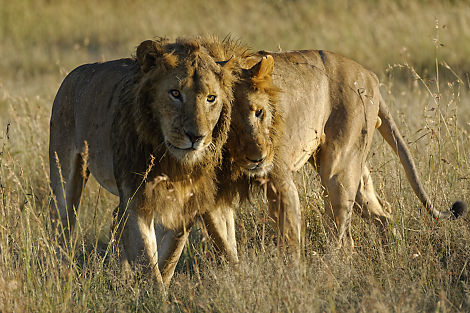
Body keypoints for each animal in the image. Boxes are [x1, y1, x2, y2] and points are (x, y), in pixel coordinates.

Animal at [50, 37, 239, 286]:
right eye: (175, 93)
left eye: (211, 98)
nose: (196, 136)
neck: (170, 161)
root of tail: (73, 74)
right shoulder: (135, 198)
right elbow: (147, 260)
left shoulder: (184, 204)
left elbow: (167, 258)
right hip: (64, 172)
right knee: (62, 224)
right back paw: (60, 273)